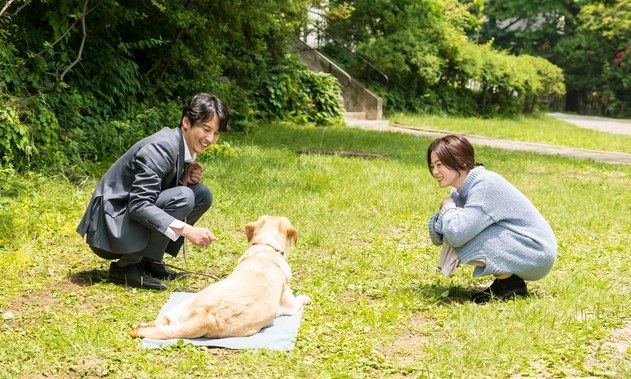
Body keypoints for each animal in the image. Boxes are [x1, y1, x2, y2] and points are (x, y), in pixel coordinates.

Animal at [130, 217, 312, 342]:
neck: (265, 248)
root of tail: (208, 319)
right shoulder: (290, 305)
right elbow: (299, 299)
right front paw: (306, 297)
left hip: (178, 311)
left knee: (160, 324)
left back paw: (140, 326)